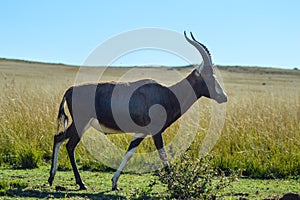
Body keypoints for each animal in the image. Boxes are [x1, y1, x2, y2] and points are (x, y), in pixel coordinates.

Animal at [48, 31, 227, 191]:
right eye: (210, 76)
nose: (223, 97)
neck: (166, 93)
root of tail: (70, 90)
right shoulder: (156, 132)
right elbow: (163, 155)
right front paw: (173, 184)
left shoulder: (141, 133)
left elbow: (129, 153)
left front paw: (114, 183)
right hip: (81, 123)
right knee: (68, 144)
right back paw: (80, 183)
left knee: (59, 138)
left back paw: (52, 178)